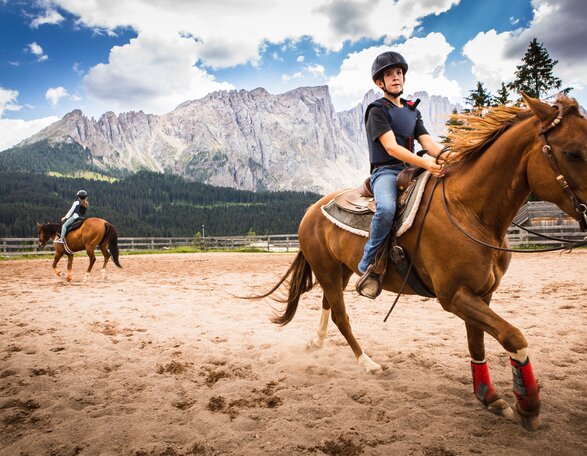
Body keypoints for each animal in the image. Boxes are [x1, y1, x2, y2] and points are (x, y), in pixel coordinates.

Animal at [258, 94, 587, 430]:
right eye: (572, 152)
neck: (468, 209)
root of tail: (311, 210)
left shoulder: (481, 294)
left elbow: (477, 343)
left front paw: (489, 396)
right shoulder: (454, 296)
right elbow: (513, 337)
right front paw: (528, 406)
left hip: (342, 271)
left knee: (328, 304)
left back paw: (317, 343)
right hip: (326, 270)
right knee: (340, 315)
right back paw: (368, 363)